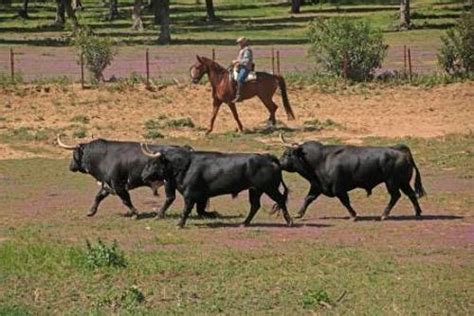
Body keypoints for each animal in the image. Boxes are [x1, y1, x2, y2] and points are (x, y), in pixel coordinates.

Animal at [57, 137, 202, 218]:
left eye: (74, 154)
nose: (70, 166)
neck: (103, 156)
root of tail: (185, 148)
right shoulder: (108, 184)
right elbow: (98, 197)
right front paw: (91, 211)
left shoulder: (118, 185)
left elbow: (126, 200)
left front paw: (136, 213)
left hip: (169, 183)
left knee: (170, 198)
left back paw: (160, 214)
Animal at [139, 147, 292, 228]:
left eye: (154, 163)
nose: (143, 176)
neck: (185, 165)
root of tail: (268, 157)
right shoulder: (200, 196)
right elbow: (200, 210)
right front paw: (213, 214)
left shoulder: (190, 195)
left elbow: (186, 209)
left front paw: (180, 224)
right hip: (255, 190)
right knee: (255, 206)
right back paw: (244, 223)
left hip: (270, 188)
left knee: (280, 200)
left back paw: (289, 221)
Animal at [278, 141, 426, 220]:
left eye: (287, 154)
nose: (279, 163)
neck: (321, 160)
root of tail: (401, 151)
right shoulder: (317, 186)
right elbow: (308, 199)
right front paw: (299, 214)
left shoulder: (338, 189)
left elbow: (345, 202)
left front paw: (353, 215)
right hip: (403, 182)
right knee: (411, 194)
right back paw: (418, 213)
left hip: (392, 182)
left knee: (396, 196)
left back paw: (384, 215)